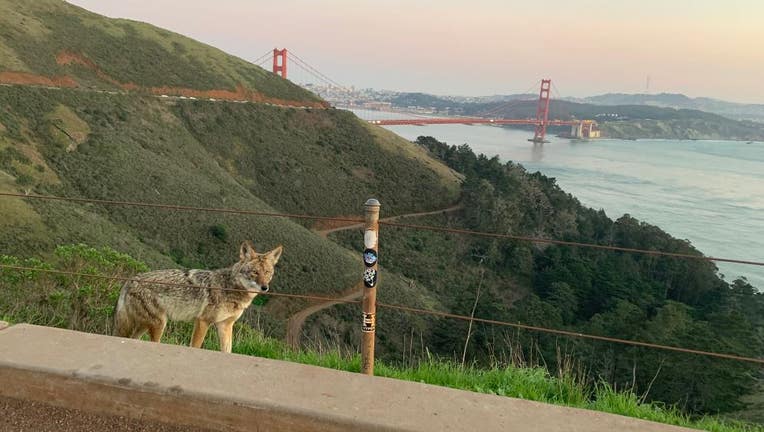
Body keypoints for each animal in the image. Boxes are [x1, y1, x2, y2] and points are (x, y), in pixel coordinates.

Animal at [113, 241, 282, 353]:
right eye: (255, 272)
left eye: (267, 272)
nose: (265, 287)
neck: (230, 288)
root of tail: (130, 280)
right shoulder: (202, 321)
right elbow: (195, 345)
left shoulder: (225, 325)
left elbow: (227, 351)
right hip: (159, 324)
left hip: (146, 326)